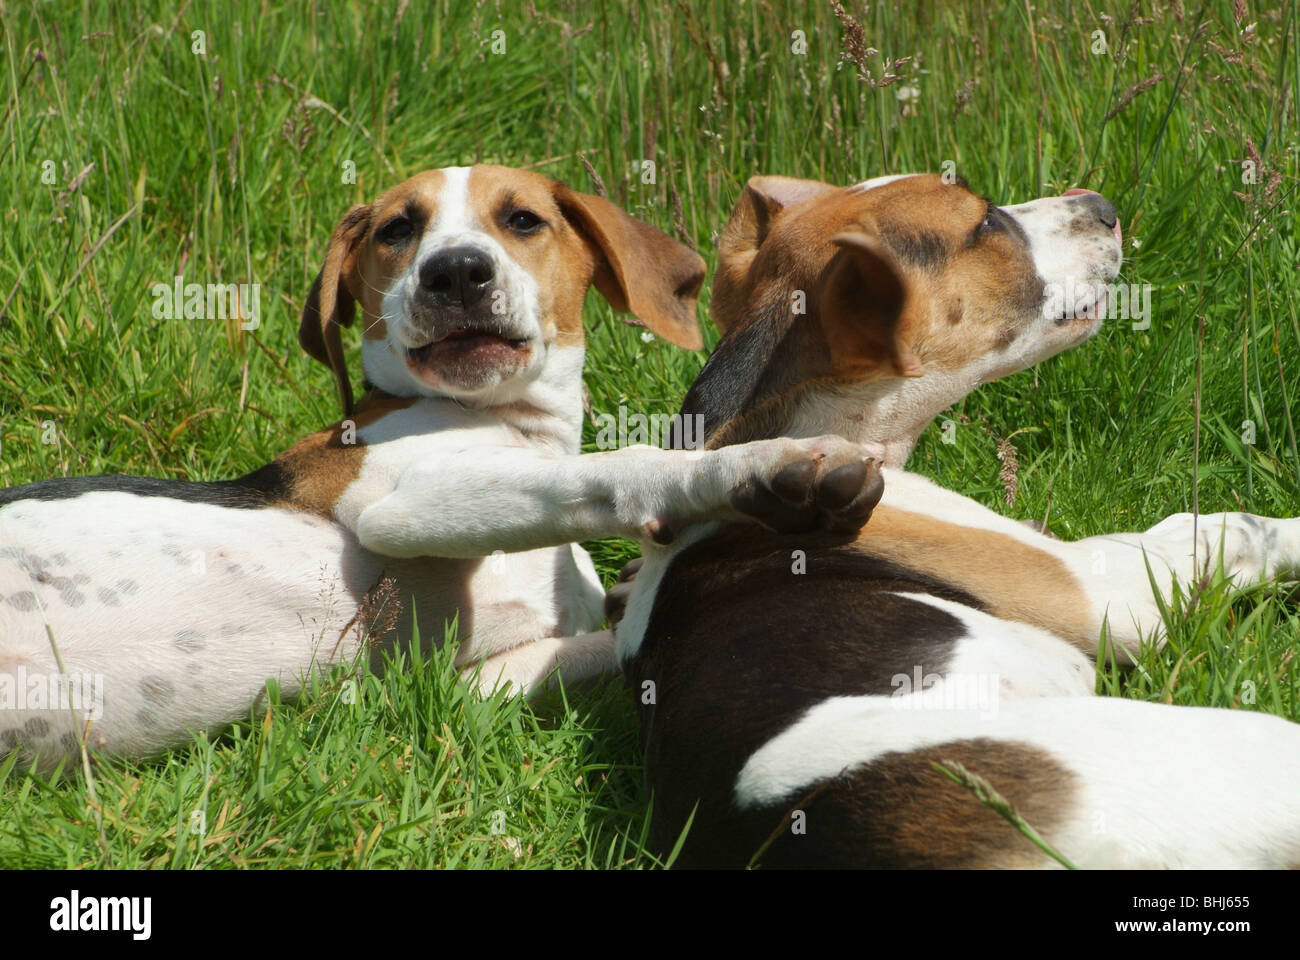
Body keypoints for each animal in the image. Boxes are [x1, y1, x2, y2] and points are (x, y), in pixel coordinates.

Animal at [0, 160, 883, 764]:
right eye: (398, 229)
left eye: (523, 219)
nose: (456, 270)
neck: (504, 421)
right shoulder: (404, 502)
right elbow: (607, 470)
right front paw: (770, 468)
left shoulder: (460, 686)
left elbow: (607, 640)